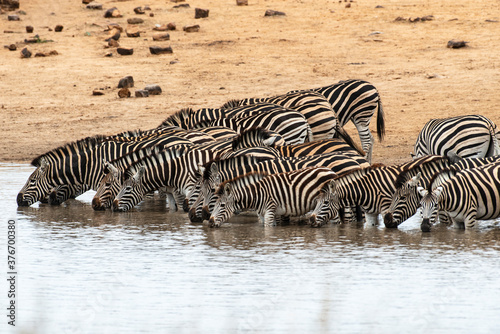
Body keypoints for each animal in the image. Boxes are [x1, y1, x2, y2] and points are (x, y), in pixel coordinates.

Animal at [207, 166, 336, 227]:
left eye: (222, 205)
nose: (210, 222)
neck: (256, 195)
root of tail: (330, 170)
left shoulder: (270, 211)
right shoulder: (265, 214)